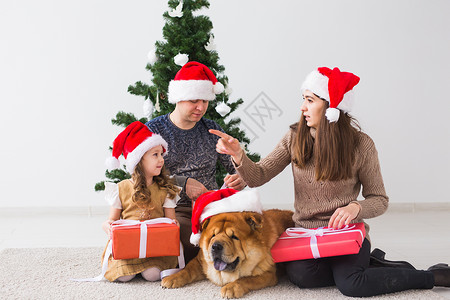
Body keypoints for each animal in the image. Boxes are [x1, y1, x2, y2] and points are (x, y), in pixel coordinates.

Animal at [160, 209, 294, 298]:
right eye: (213, 235)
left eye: (234, 237)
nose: (215, 246)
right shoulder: (199, 261)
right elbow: (186, 270)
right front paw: (171, 278)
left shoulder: (268, 274)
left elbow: (247, 279)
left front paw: (231, 287)